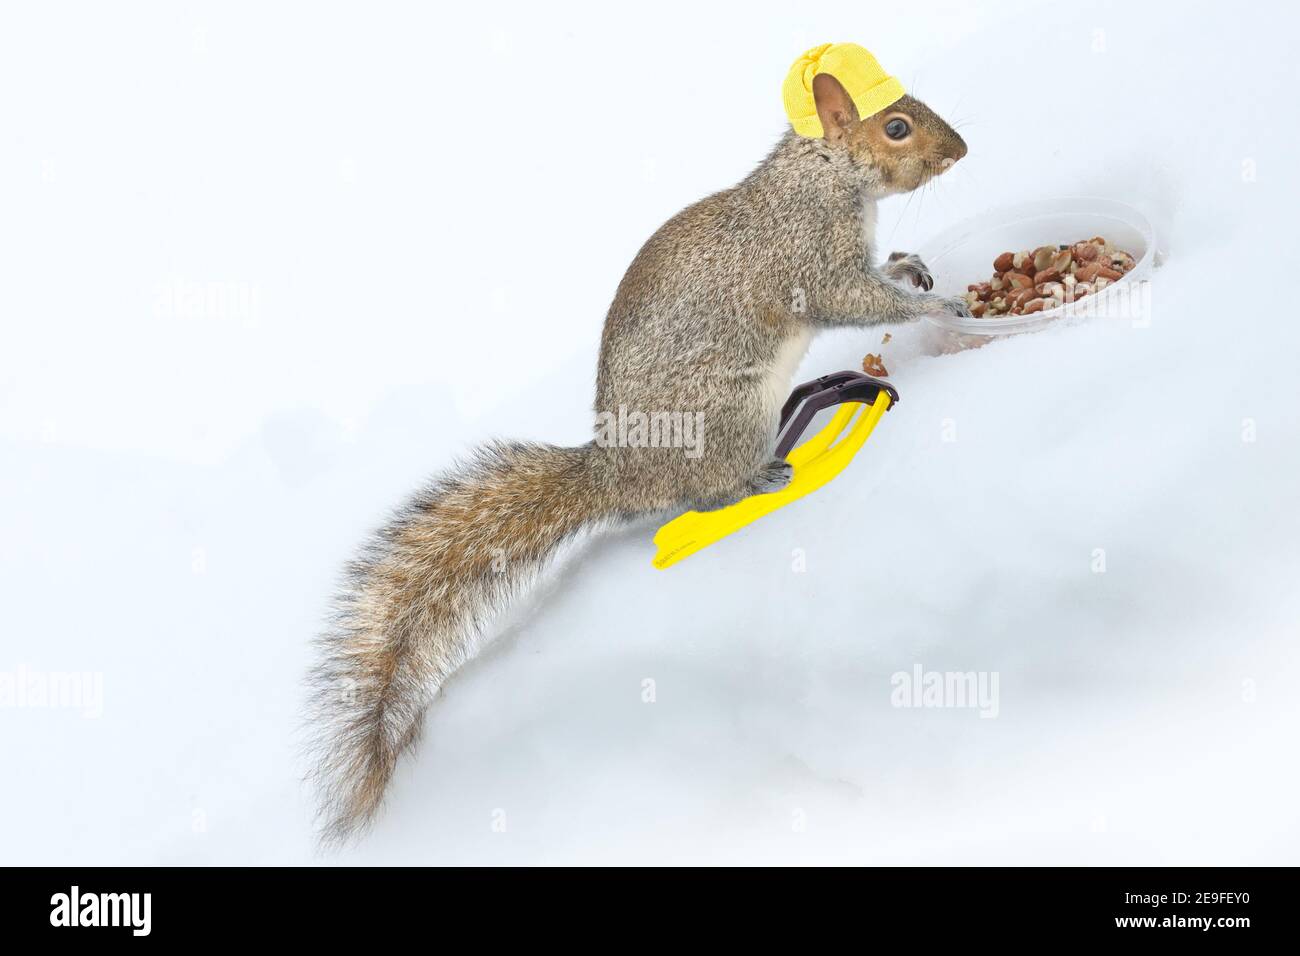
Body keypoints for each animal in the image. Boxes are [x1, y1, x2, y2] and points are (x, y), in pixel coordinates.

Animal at [307, 69, 970, 844]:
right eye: (896, 127)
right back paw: (762, 475)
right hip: (727, 417)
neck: (823, 175)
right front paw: (938, 306)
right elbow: (853, 299)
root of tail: (619, 473)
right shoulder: (806, 256)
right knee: (706, 493)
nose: (959, 150)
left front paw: (909, 265)